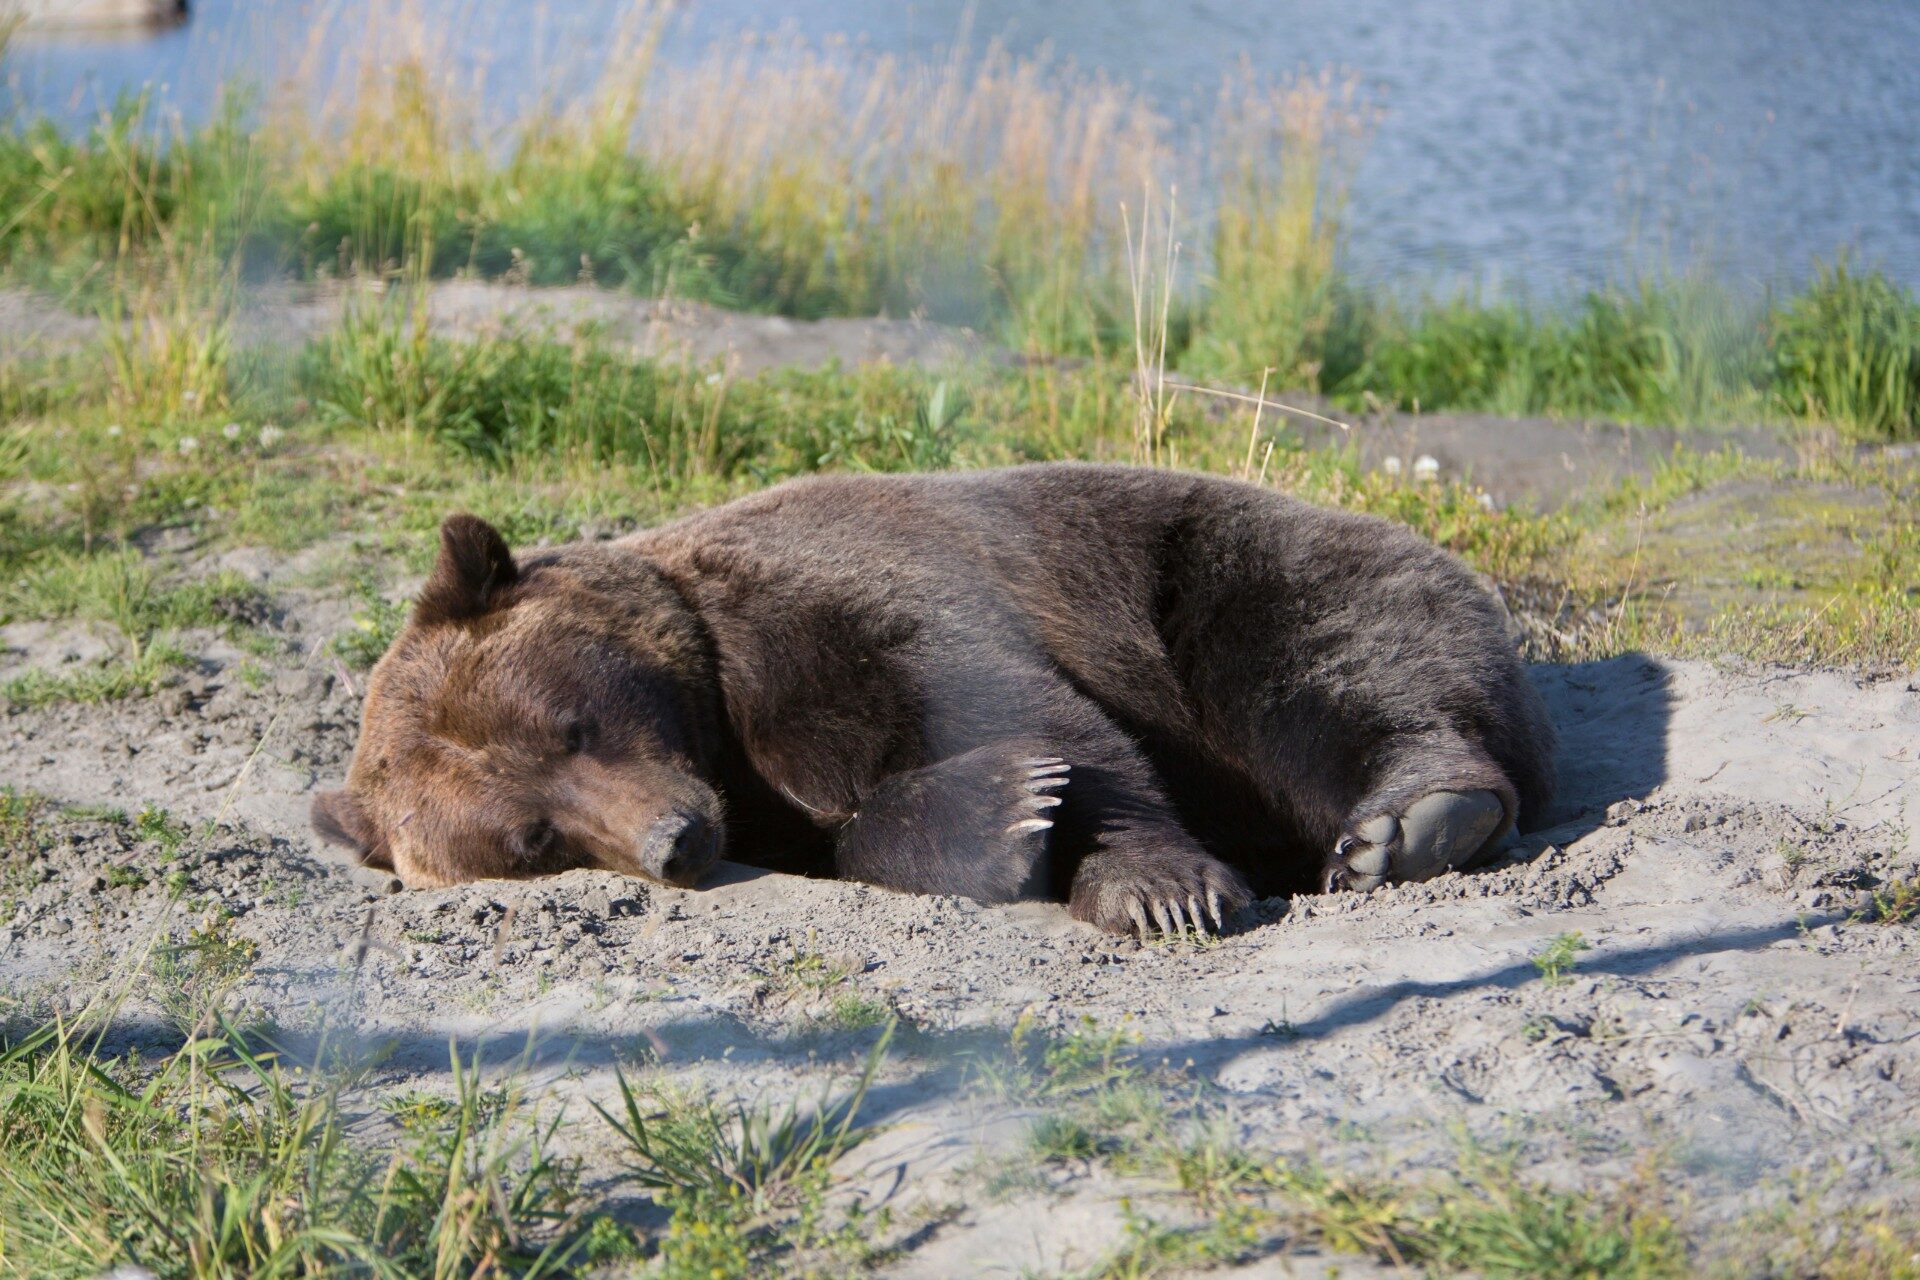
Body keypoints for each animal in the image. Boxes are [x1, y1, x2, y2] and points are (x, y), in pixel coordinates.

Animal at [311, 462, 1555, 936]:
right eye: (530, 837)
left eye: (572, 722)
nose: (674, 835)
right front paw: (1011, 815)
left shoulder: (829, 602)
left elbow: (1037, 714)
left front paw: (1153, 881)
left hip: (1230, 570)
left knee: (1326, 669)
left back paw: (1412, 820)